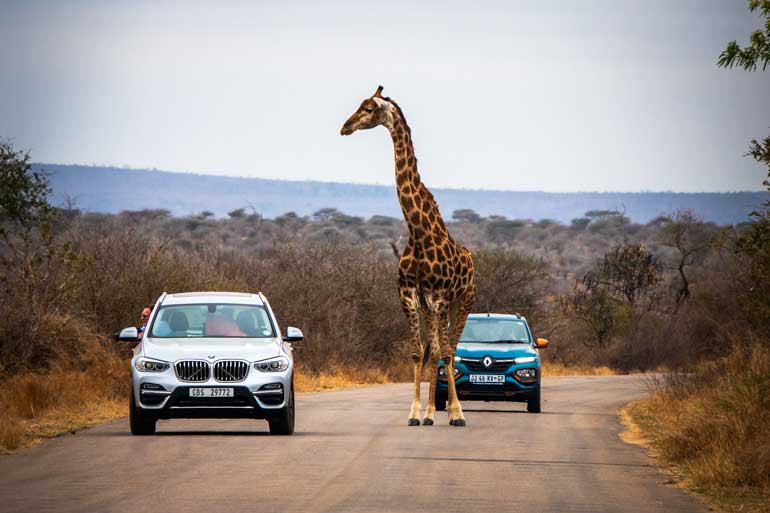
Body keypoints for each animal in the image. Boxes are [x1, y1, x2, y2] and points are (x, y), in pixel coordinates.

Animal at [340, 86, 474, 426]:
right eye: (360, 104)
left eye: (369, 108)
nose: (345, 126)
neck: (418, 231)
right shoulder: (411, 294)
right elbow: (418, 351)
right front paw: (415, 412)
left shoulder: (440, 296)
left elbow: (445, 353)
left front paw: (455, 413)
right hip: (434, 307)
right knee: (435, 348)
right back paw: (430, 413)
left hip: (464, 299)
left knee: (451, 348)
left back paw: (453, 411)